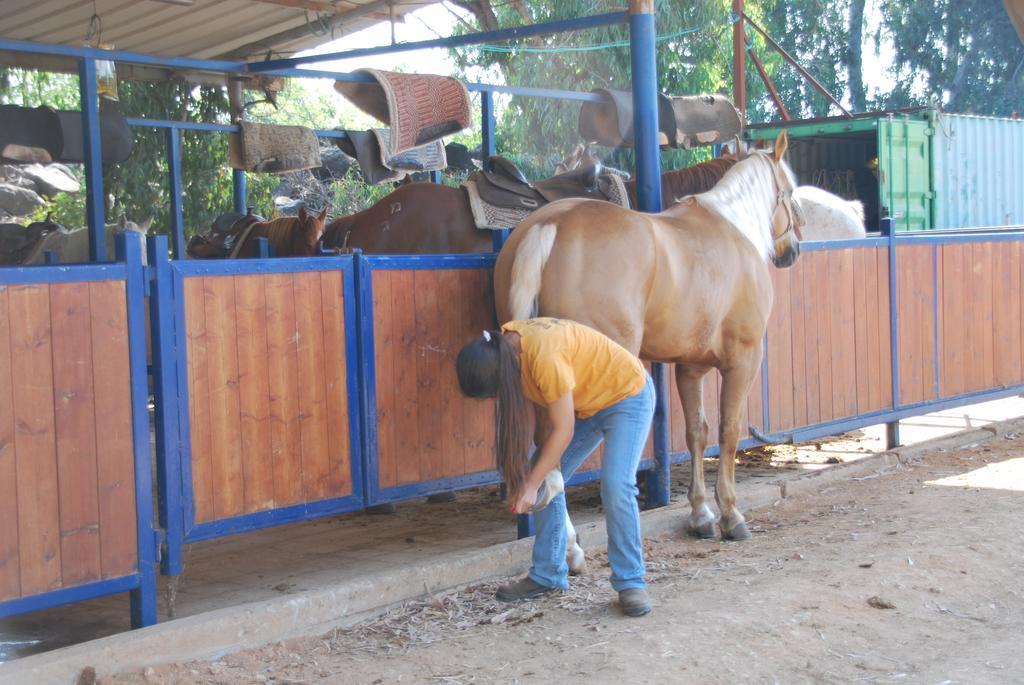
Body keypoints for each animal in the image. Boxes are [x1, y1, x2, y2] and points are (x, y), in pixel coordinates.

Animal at [491, 131, 802, 540]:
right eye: (791, 191)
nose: (792, 250)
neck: (731, 226)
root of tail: (551, 224)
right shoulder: (744, 360)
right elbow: (728, 430)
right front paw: (730, 514)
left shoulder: (690, 367)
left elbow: (697, 432)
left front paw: (700, 513)